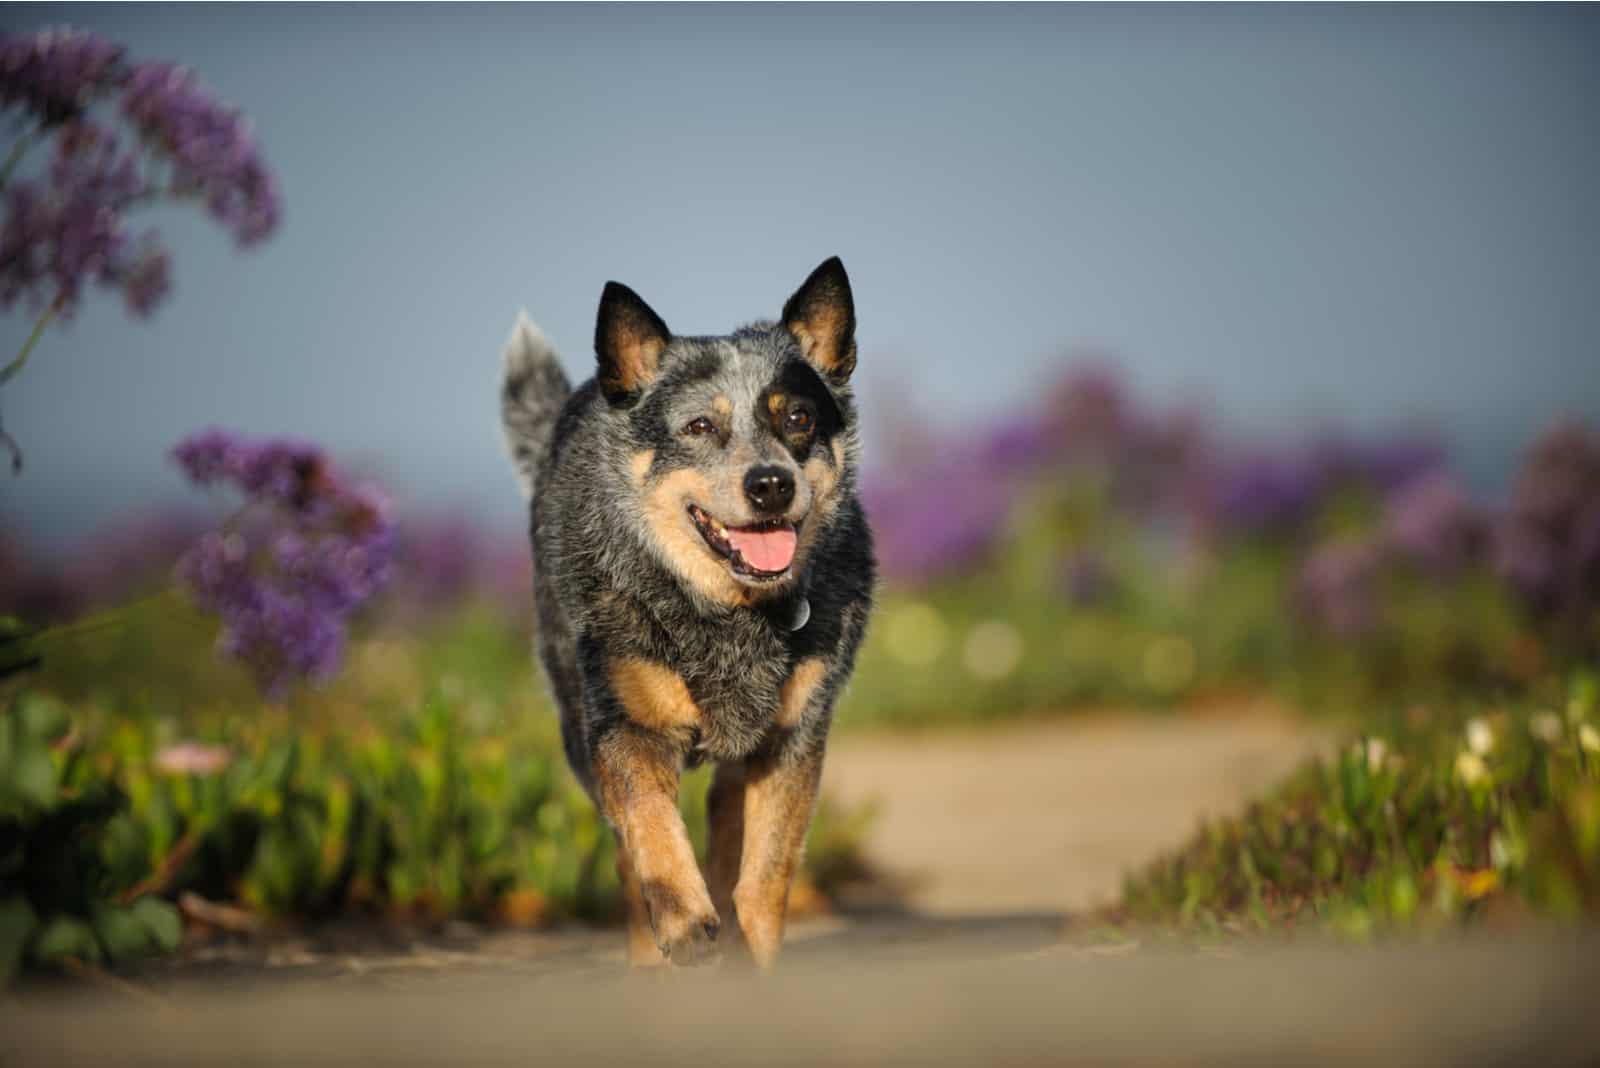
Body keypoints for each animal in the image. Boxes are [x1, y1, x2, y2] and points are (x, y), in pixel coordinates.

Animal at [499, 259, 876, 965]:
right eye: (700, 426)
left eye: (799, 418)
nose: (771, 483)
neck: (728, 613)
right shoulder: (623, 724)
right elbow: (648, 824)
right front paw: (681, 921)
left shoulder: (793, 738)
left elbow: (765, 876)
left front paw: (752, 952)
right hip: (573, 721)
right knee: (627, 855)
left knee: (727, 822)